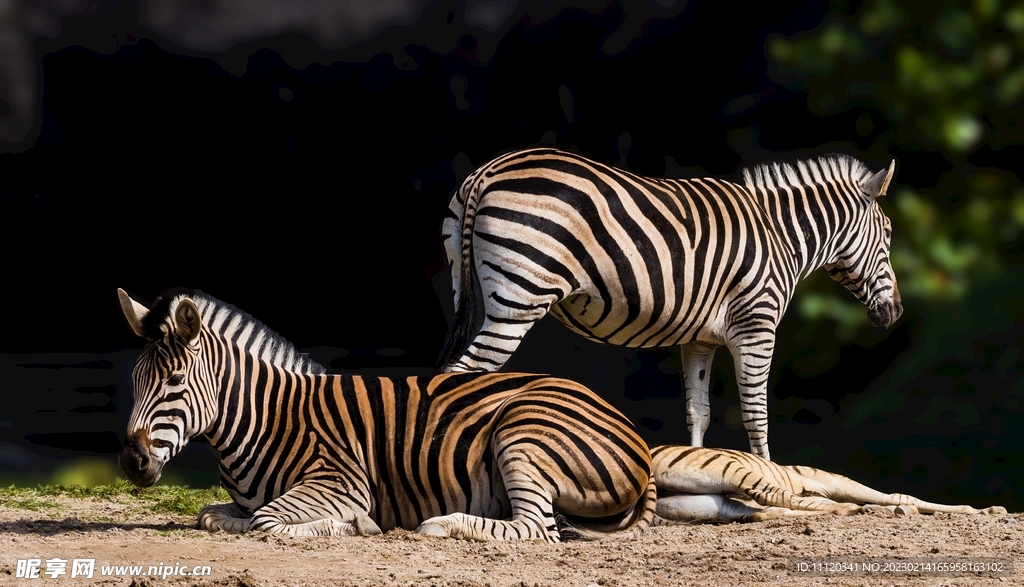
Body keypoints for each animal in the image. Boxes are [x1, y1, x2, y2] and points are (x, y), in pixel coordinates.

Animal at [114, 288, 655, 540]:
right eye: (135, 380)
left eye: (174, 382)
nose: (130, 464)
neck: (265, 418)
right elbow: (211, 515)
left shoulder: (341, 480)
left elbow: (267, 521)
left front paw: (356, 525)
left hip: (522, 432)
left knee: (536, 529)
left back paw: (442, 524)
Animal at [436, 145, 901, 456]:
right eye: (890, 233)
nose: (895, 312)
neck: (778, 234)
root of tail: (487, 172)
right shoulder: (757, 325)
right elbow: (756, 412)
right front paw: (773, 486)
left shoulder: (700, 339)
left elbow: (699, 411)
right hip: (518, 299)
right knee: (465, 375)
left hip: (471, 289)